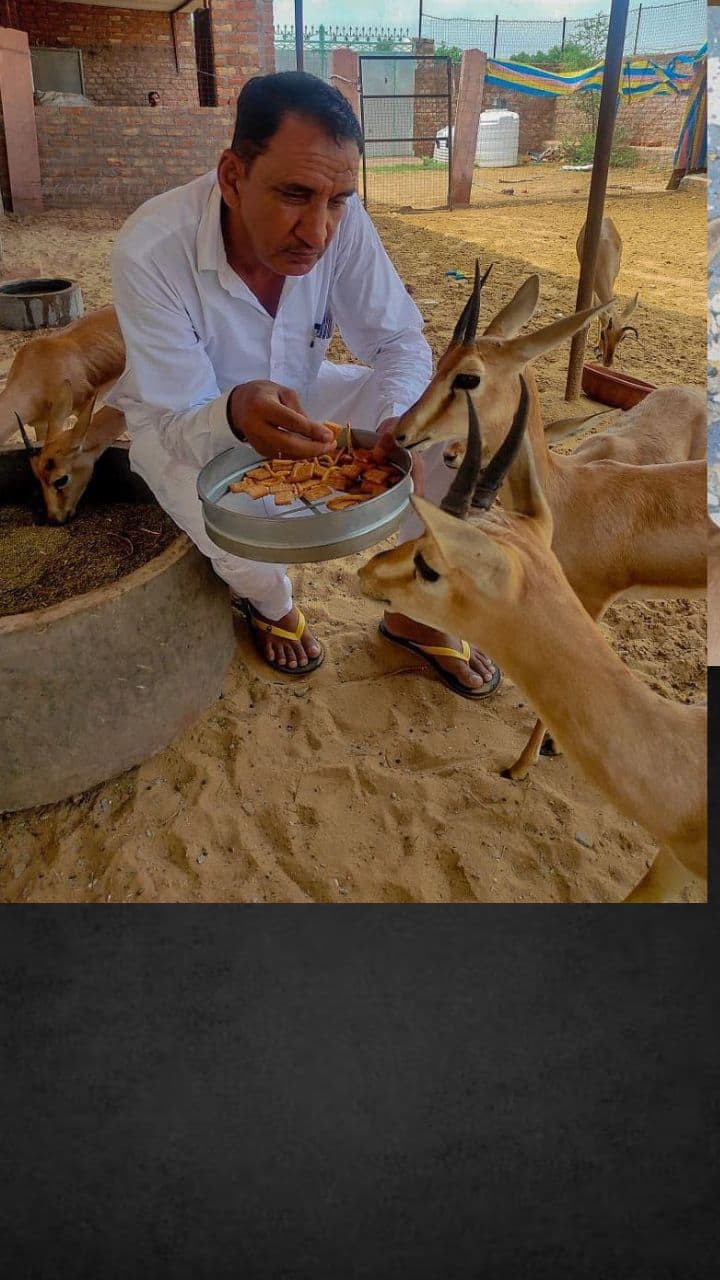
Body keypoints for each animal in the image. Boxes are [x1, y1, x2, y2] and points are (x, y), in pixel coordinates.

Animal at [389, 262, 702, 778]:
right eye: (441, 361)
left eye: (468, 378)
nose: (401, 432)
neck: (568, 497)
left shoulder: (587, 605)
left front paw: (519, 766)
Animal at [573, 213, 635, 366]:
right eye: (603, 335)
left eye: (622, 338)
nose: (608, 362)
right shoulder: (590, 284)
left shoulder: (612, 280)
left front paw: (599, 350)